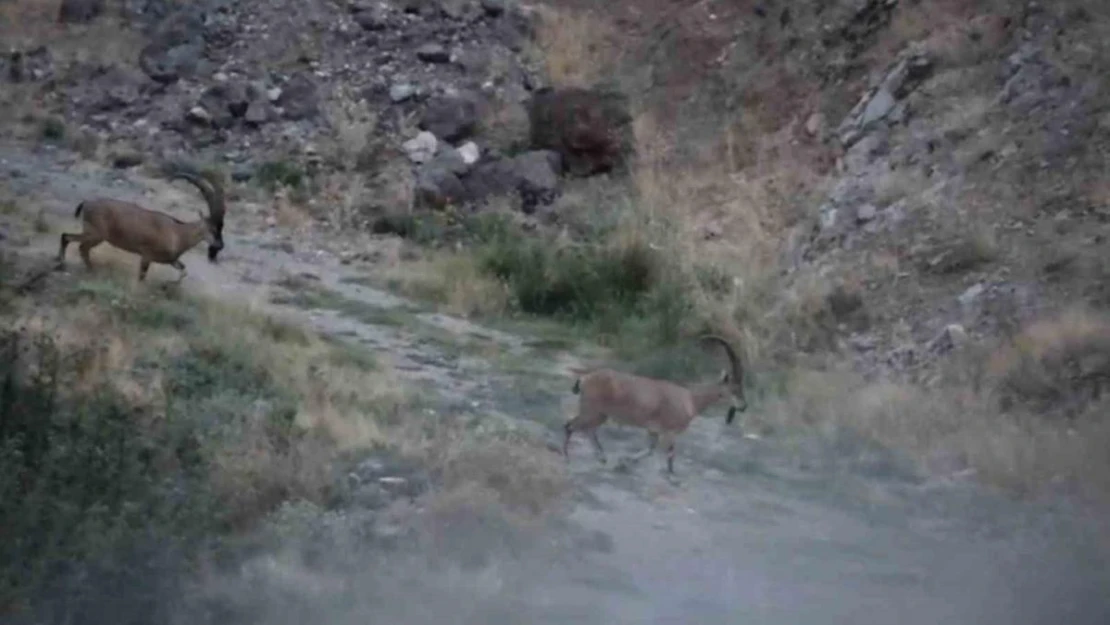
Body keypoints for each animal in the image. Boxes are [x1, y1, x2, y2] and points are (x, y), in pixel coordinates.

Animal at [59, 167, 228, 281]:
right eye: (212, 228)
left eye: (222, 227)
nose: (220, 246)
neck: (178, 233)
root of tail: (86, 203)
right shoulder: (147, 256)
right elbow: (142, 277)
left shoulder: (171, 260)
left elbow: (184, 270)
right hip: (96, 234)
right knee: (74, 241)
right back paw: (82, 268)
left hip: (92, 234)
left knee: (72, 241)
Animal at [563, 337, 745, 475]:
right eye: (735, 389)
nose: (744, 406)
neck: (691, 400)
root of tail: (584, 379)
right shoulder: (669, 432)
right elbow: (670, 454)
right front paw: (673, 477)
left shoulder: (654, 430)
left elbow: (650, 449)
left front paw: (623, 462)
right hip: (591, 410)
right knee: (571, 426)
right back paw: (568, 458)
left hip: (600, 413)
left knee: (589, 430)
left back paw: (602, 457)